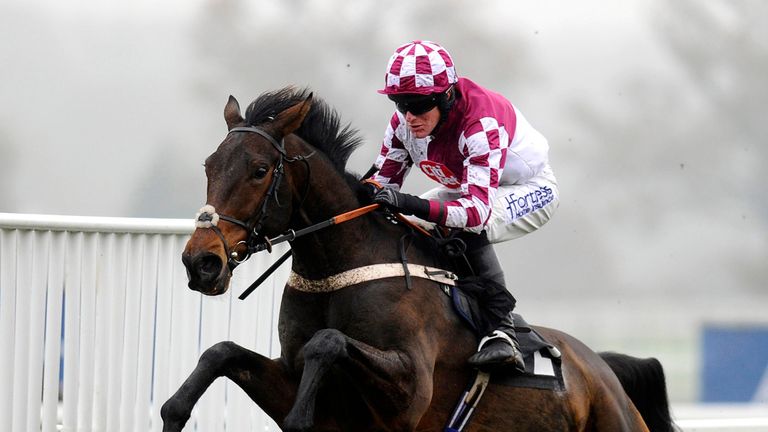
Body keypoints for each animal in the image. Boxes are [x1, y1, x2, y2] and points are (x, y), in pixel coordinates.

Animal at [159, 86, 676, 430]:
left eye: (260, 170)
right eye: (209, 166)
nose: (201, 262)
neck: (340, 269)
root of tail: (601, 370)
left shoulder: (408, 396)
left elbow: (328, 341)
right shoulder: (292, 377)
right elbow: (221, 352)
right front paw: (174, 410)